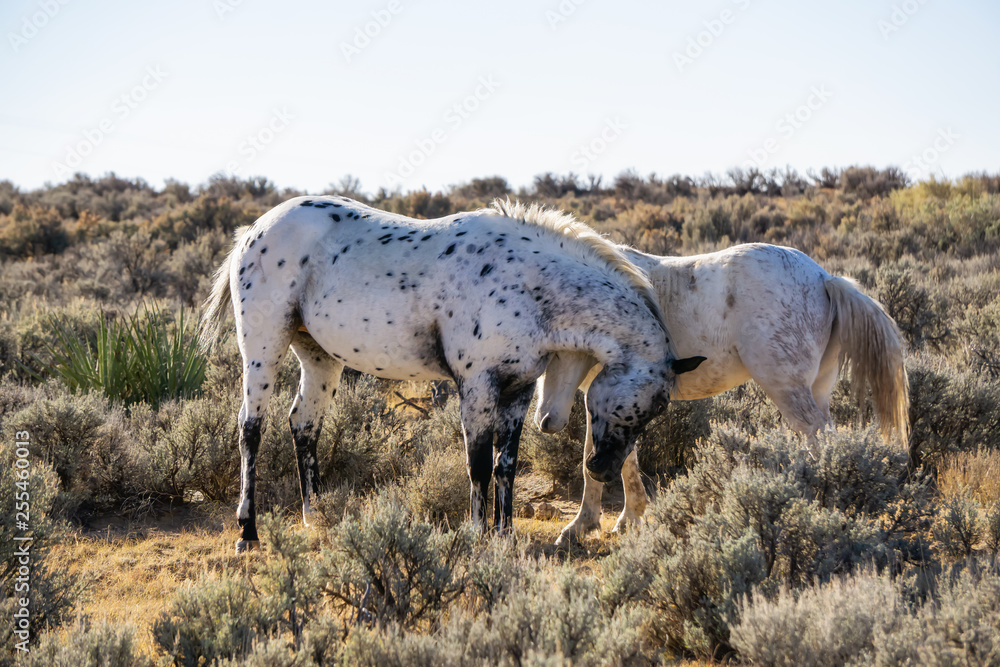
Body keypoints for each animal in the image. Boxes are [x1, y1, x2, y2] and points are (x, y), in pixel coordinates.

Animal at [201, 196, 705, 553]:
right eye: (657, 402)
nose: (601, 467)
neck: (527, 284)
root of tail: (253, 230)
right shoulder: (477, 386)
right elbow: (478, 464)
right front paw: (478, 534)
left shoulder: (519, 389)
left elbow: (506, 464)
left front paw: (504, 533)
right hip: (263, 346)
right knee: (251, 427)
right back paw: (248, 532)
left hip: (319, 357)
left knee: (304, 425)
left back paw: (315, 515)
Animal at [535, 243, 909, 546]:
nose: (546, 419)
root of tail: (824, 278)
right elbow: (624, 458)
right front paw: (628, 519)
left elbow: (596, 458)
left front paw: (580, 527)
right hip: (817, 390)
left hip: (788, 390)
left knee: (819, 439)